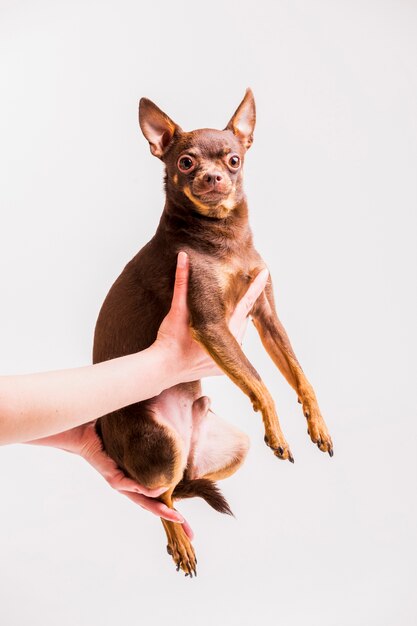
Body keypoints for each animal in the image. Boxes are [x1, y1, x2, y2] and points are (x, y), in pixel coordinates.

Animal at [92, 89, 334, 576]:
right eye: (185, 162)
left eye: (234, 159)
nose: (212, 176)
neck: (224, 236)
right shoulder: (211, 325)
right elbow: (261, 383)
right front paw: (279, 431)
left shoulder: (266, 317)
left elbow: (299, 377)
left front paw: (316, 424)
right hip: (159, 448)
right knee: (158, 498)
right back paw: (179, 543)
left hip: (226, 449)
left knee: (182, 487)